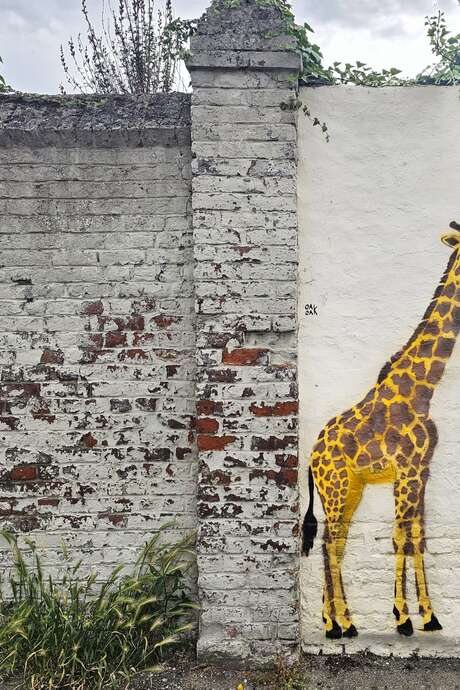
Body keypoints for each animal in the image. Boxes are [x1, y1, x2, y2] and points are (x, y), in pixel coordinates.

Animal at [302, 221, 460, 640]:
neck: (423, 391)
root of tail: (311, 459)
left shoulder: (422, 471)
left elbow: (419, 537)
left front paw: (429, 617)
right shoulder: (405, 471)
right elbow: (399, 537)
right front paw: (402, 618)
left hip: (350, 489)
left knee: (336, 541)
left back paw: (337, 621)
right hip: (337, 488)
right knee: (329, 542)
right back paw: (338, 624)